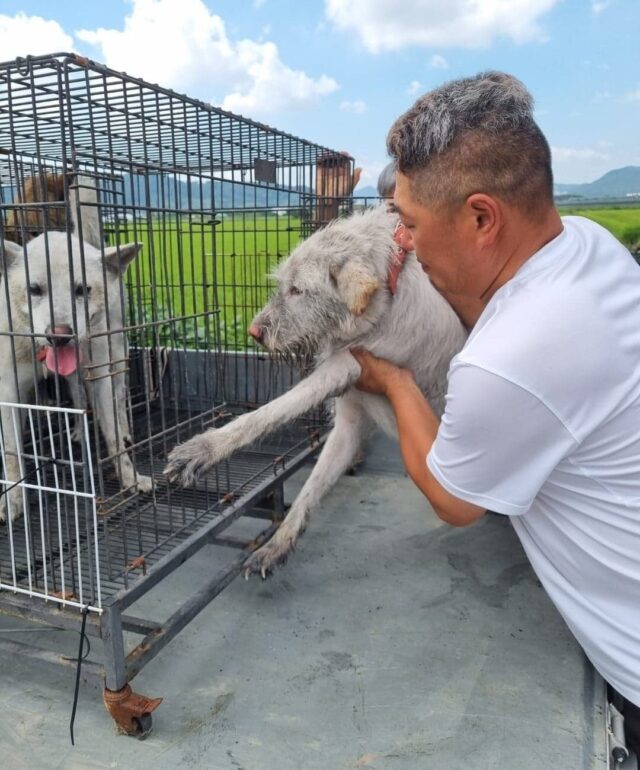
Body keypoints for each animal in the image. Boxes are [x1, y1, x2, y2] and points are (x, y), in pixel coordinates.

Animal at [0, 172, 151, 520]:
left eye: (83, 289)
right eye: (34, 289)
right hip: (74, 378)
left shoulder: (100, 377)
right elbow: (12, 453)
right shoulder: (9, 391)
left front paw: (130, 478)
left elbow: (113, 437)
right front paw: (12, 501)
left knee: (118, 399)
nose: (60, 335)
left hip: (114, 359)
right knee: (79, 403)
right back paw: (79, 433)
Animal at [165, 206, 464, 576]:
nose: (253, 333)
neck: (387, 296)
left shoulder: (351, 363)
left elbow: (276, 408)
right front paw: (277, 545)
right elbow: (312, 487)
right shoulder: (349, 423)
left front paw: (204, 449)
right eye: (284, 286)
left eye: (298, 290)